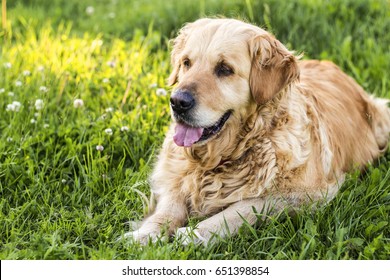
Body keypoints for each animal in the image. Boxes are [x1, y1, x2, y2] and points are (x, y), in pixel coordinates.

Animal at [124, 18, 390, 245]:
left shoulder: (309, 194)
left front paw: (196, 234)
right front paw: (145, 234)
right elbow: (169, 207)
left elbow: (243, 208)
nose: (177, 102)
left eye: (224, 69)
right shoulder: (172, 176)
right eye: (186, 63)